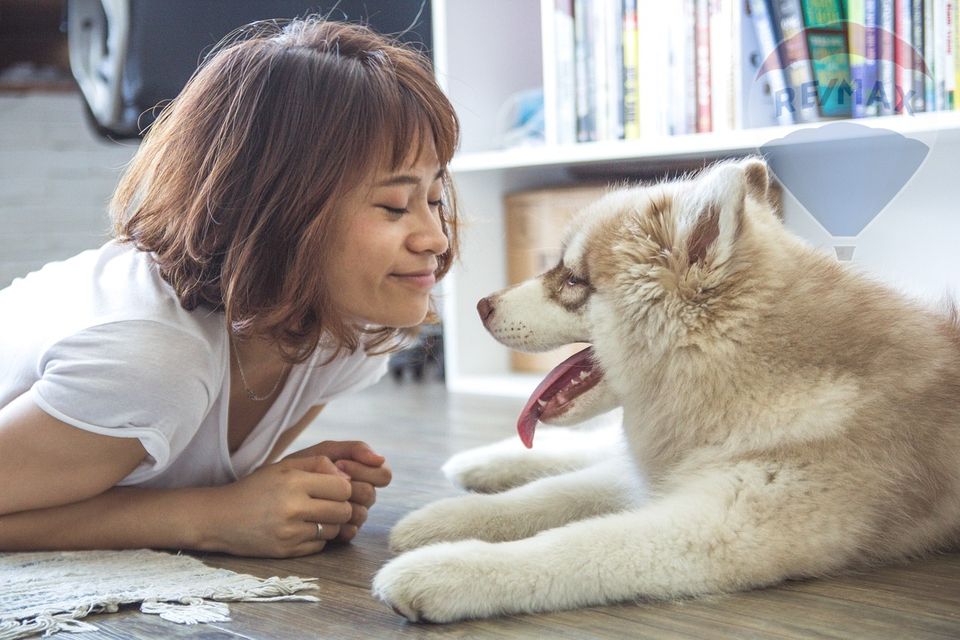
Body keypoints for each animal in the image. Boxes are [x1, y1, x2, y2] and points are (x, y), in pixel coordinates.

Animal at [370, 158, 960, 624]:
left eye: (572, 280)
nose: (479, 305)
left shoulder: (720, 524)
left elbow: (574, 544)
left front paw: (446, 569)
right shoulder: (667, 475)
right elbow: (546, 497)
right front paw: (441, 521)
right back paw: (479, 464)